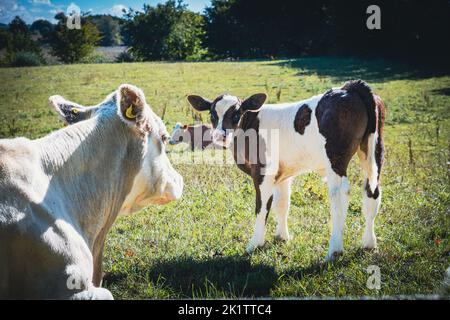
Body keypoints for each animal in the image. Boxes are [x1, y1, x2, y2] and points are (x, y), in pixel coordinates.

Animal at [188, 80, 384, 260]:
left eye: (237, 113)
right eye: (212, 114)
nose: (219, 135)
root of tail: (349, 88)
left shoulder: (262, 171)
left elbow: (262, 207)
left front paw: (255, 244)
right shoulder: (283, 173)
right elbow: (282, 204)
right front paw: (282, 237)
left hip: (336, 158)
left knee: (339, 196)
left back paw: (335, 250)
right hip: (373, 151)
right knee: (372, 192)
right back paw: (369, 244)